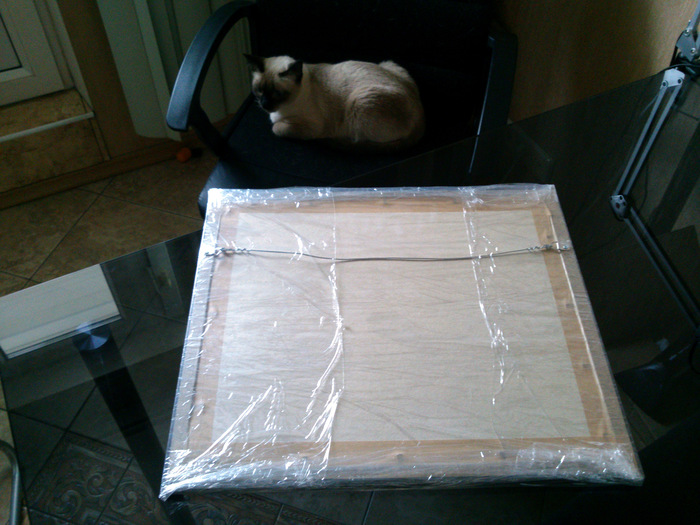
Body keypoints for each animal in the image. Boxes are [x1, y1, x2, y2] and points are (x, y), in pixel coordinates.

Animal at [244, 54, 425, 151]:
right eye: (259, 90)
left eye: (277, 94)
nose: (265, 104)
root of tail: (420, 116)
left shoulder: (311, 127)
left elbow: (276, 127)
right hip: (390, 64)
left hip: (358, 103)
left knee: (358, 140)